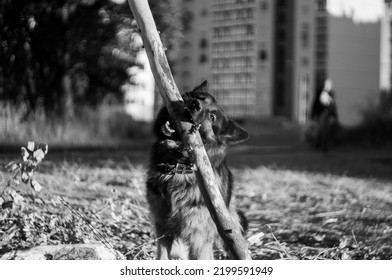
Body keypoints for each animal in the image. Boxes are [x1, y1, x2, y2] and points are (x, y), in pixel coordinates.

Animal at [145, 81, 250, 260]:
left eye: (212, 117)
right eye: (201, 98)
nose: (195, 104)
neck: (178, 167)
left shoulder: (199, 238)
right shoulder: (162, 226)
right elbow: (162, 256)